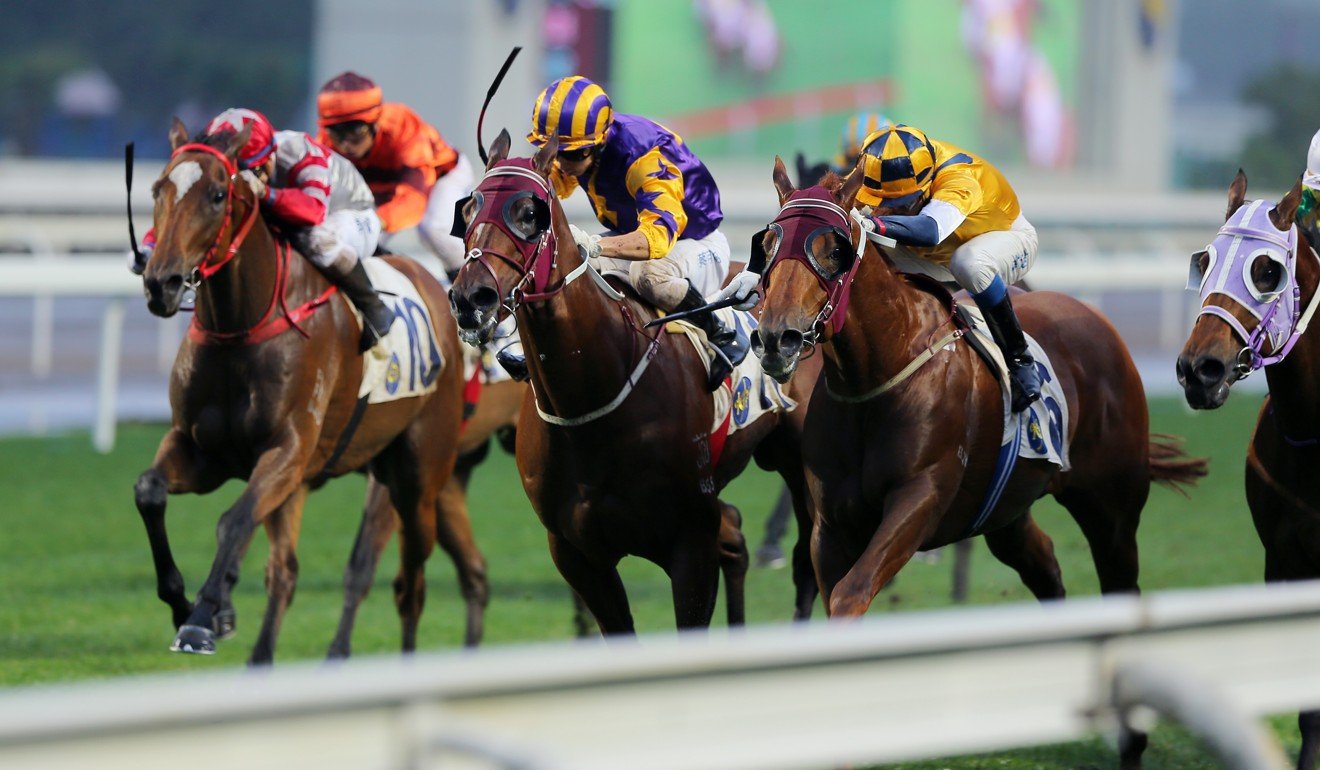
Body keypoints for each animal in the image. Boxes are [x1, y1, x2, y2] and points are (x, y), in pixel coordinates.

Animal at [133, 118, 488, 663]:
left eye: (217, 195)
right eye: (157, 190)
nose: (162, 283)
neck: (242, 325)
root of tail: (434, 284)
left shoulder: (288, 450)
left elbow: (233, 521)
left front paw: (202, 618)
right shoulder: (201, 450)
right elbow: (149, 492)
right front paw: (184, 604)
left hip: (418, 475)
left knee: (411, 580)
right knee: (294, 571)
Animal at [451, 132, 823, 628]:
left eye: (529, 213)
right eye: (470, 208)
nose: (470, 297)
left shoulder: (690, 543)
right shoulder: (576, 554)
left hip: (799, 464)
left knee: (808, 563)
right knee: (737, 537)